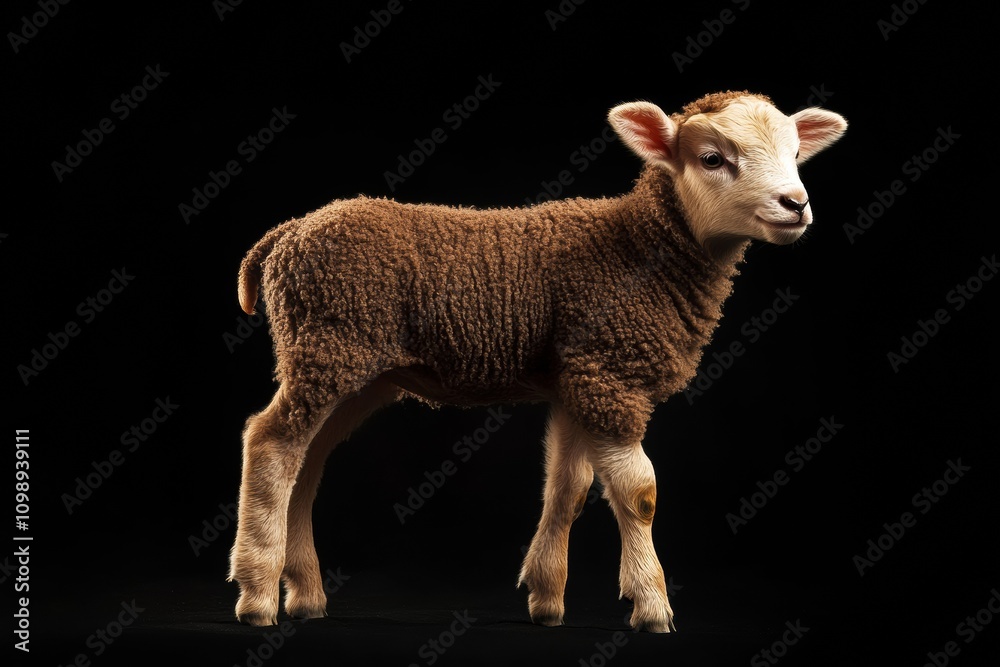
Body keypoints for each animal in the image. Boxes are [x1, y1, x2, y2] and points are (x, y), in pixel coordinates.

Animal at [227, 90, 847, 632]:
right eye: (712, 158)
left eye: (795, 153)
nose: (796, 204)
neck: (639, 248)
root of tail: (287, 233)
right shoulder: (607, 370)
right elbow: (639, 493)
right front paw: (651, 605)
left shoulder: (576, 377)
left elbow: (568, 488)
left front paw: (547, 598)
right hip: (329, 342)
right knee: (270, 443)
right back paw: (257, 593)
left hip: (351, 367)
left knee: (305, 462)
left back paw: (304, 595)